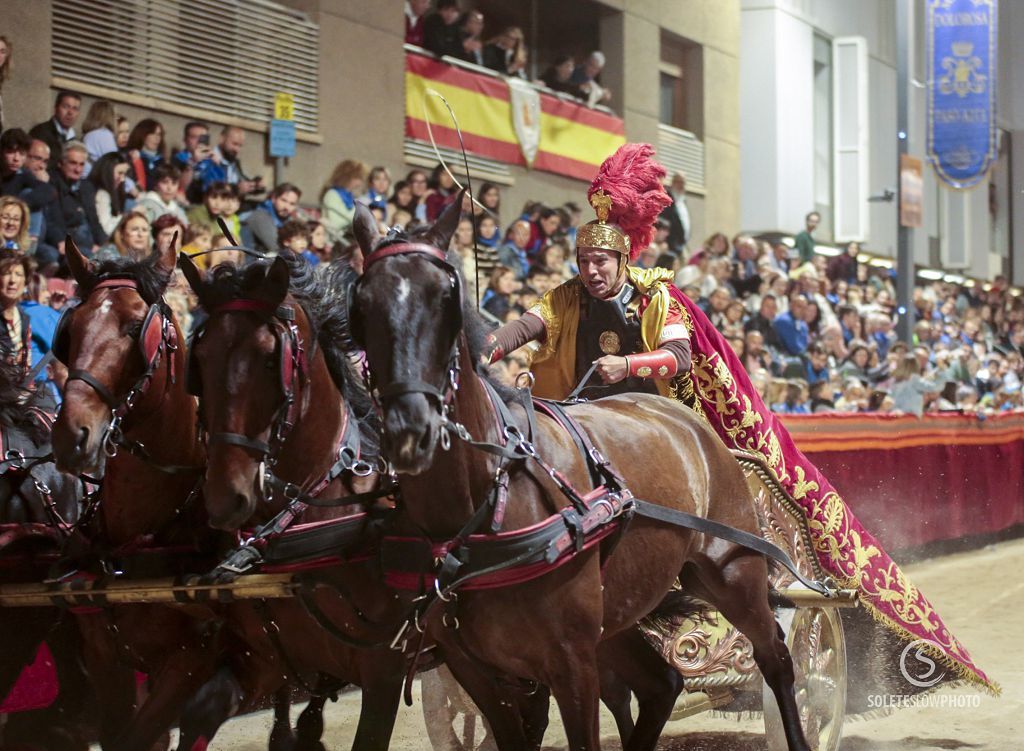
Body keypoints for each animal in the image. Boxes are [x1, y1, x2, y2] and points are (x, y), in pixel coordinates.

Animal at [180, 252, 407, 749]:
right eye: (200, 359)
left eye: (271, 360)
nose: (225, 497)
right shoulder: (260, 660)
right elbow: (198, 715)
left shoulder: (384, 669)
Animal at [348, 200, 811, 749]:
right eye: (362, 302)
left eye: (447, 299)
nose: (410, 427)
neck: (484, 500)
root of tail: (696, 426)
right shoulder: (477, 669)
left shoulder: (571, 661)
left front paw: (613, 362)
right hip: (620, 614)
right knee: (662, 683)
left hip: (731, 570)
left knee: (775, 657)